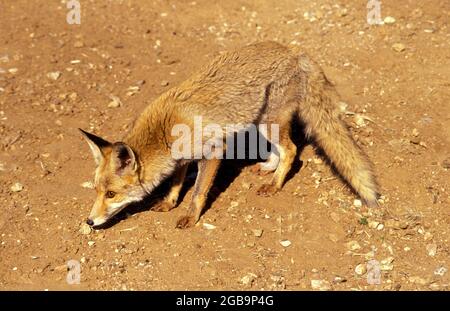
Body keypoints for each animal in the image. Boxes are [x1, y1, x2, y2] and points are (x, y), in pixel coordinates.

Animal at [81, 40, 380, 229]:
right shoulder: (181, 159)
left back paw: (275, 184)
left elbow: (198, 193)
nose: (89, 221)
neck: (164, 132)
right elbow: (176, 185)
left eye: (111, 194)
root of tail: (295, 50)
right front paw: (168, 203)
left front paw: (191, 217)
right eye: (96, 191)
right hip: (260, 121)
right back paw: (268, 168)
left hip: (270, 121)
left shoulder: (213, 152)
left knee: (292, 150)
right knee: (279, 149)